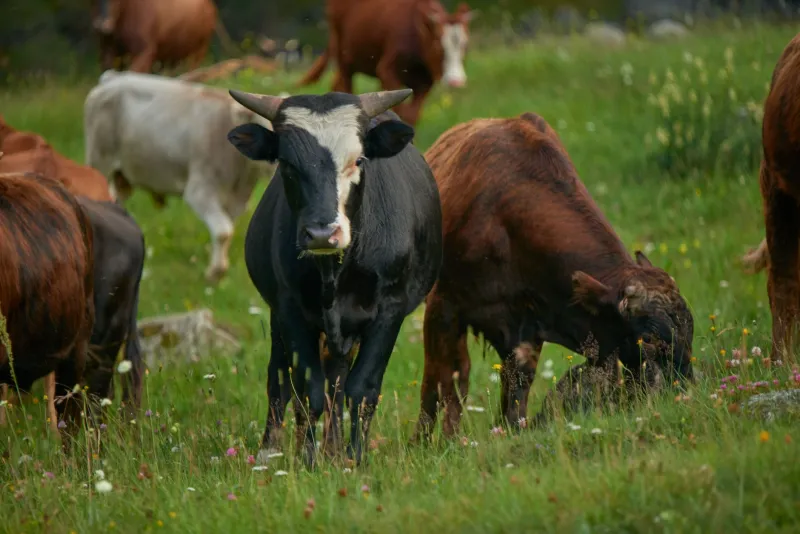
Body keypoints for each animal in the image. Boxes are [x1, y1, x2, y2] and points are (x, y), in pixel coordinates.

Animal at [83, 70, 278, 283]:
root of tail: (114, 77)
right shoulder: (199, 189)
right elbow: (223, 231)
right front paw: (215, 273)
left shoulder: (237, 199)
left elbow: (226, 228)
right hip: (99, 159)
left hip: (123, 176)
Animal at [225, 88, 442, 466]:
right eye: (287, 164)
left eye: (358, 161)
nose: (322, 233)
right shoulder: (289, 310)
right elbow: (308, 388)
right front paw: (310, 460)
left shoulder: (389, 311)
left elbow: (361, 389)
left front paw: (354, 459)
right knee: (281, 378)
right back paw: (275, 449)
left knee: (338, 381)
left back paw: (335, 448)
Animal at [297, 0, 474, 127]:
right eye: (439, 47)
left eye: (465, 46)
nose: (456, 82)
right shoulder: (387, 70)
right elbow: (400, 111)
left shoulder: (425, 83)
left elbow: (411, 115)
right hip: (342, 53)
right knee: (346, 85)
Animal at [410, 113, 694, 441]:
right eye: (647, 338)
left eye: (690, 330)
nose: (683, 392)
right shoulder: (443, 306)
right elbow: (441, 383)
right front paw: (428, 443)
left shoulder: (527, 327)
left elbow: (517, 386)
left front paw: (509, 431)